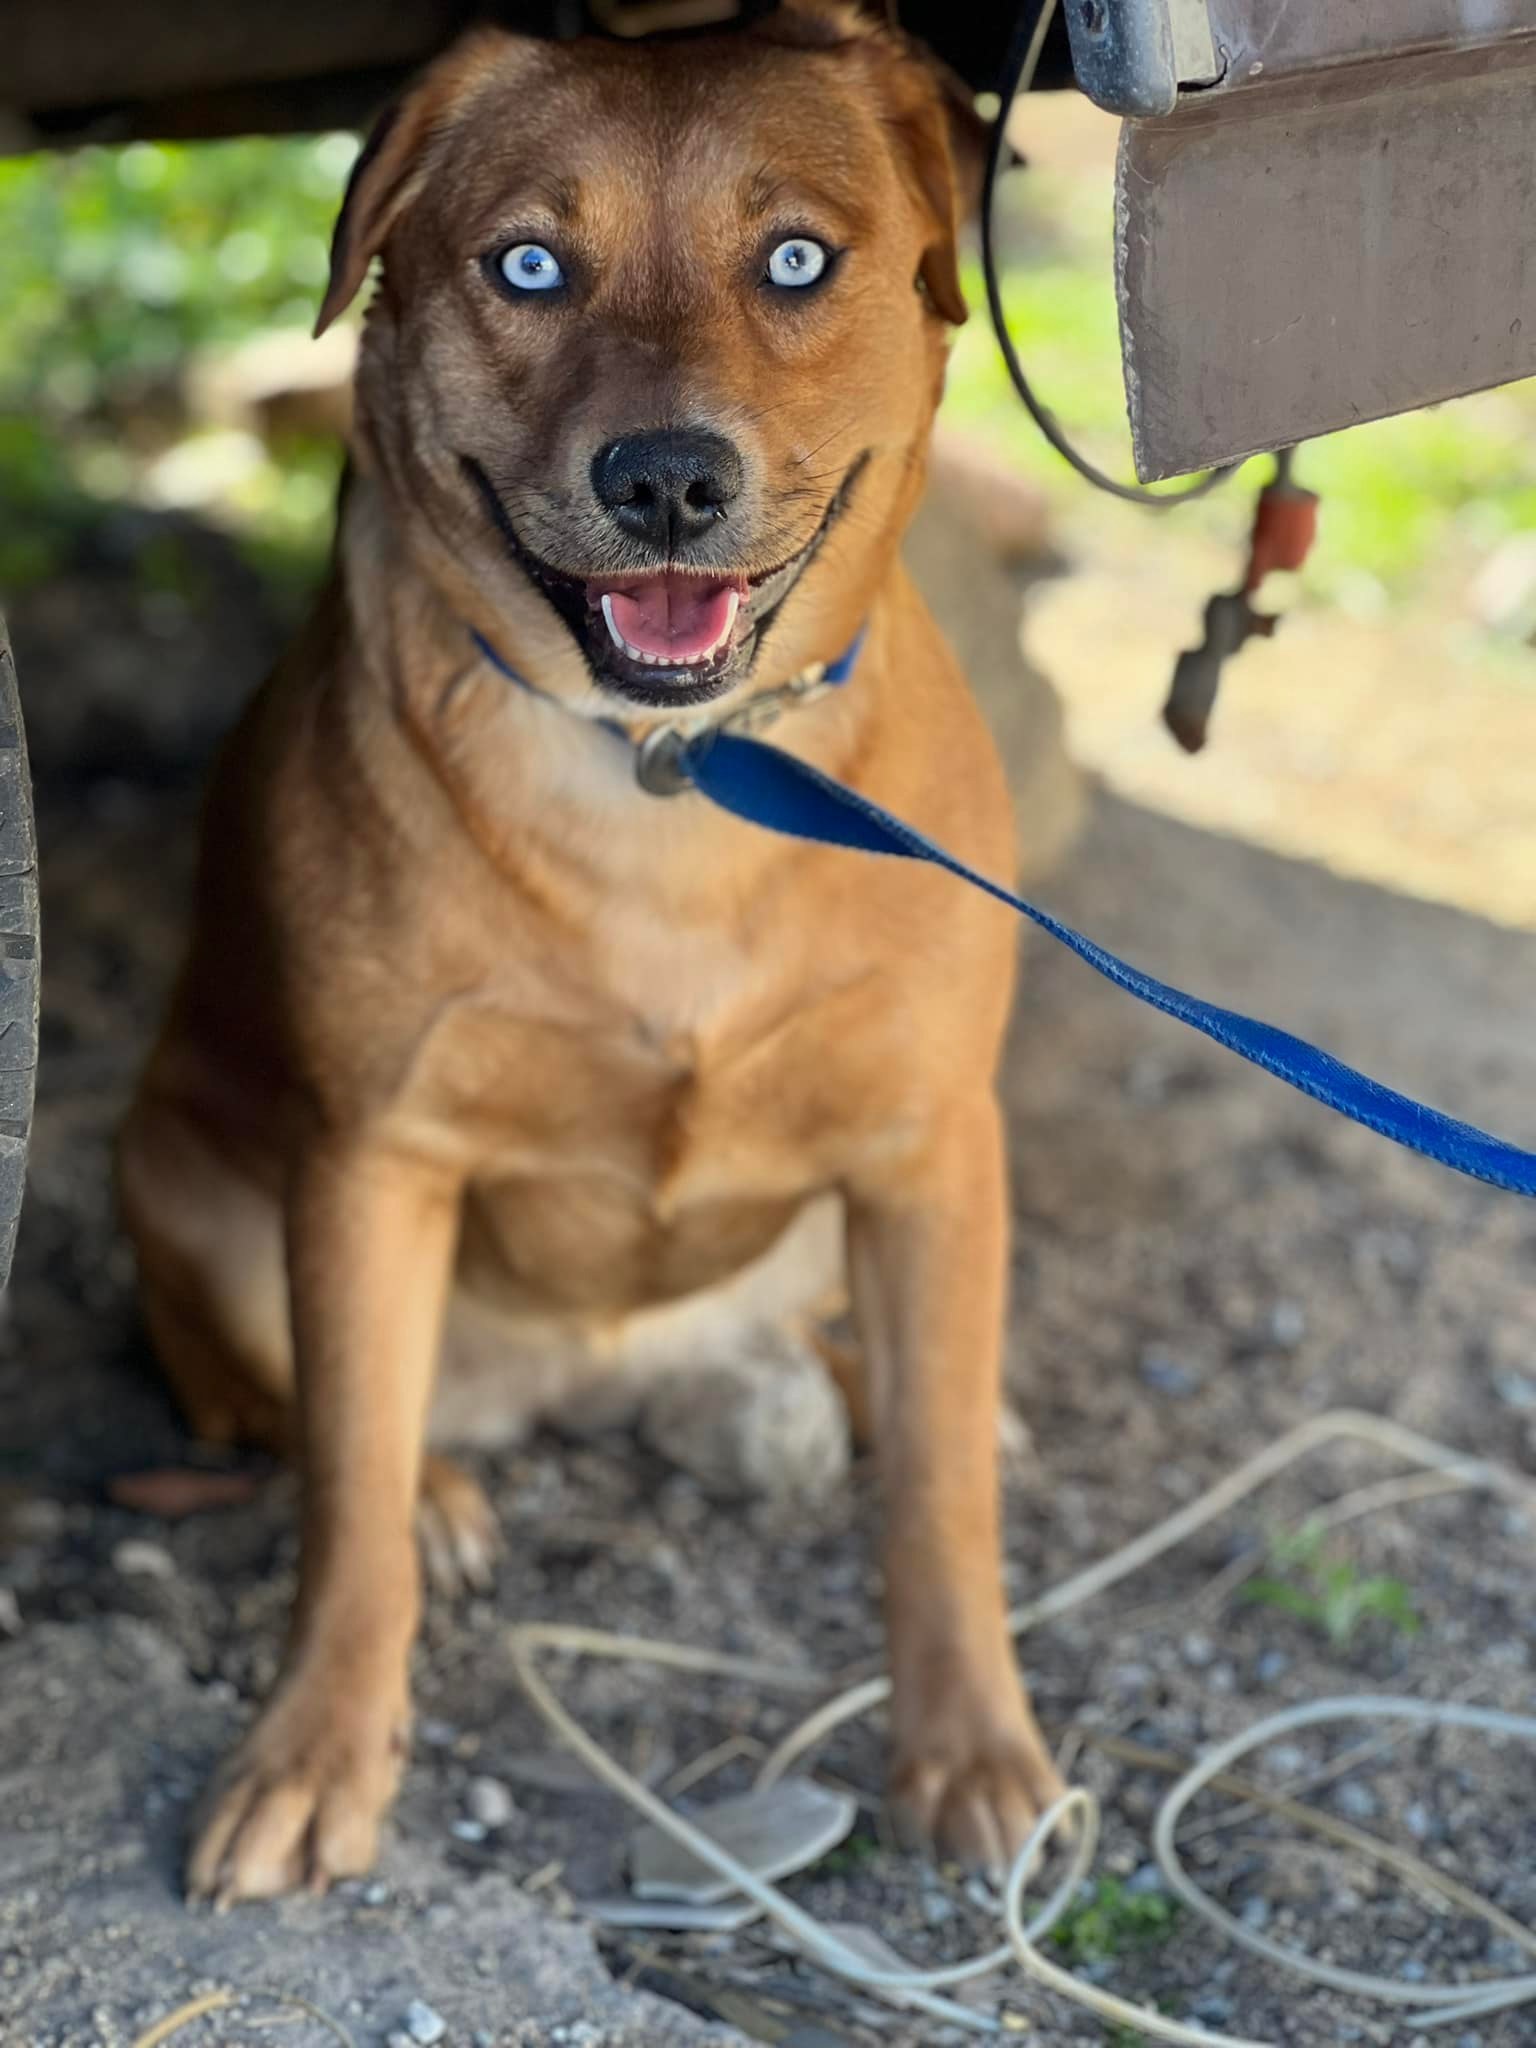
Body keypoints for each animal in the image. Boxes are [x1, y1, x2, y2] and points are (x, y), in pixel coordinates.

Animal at [117, 8, 1073, 1908]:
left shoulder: (932, 1145)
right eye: (528, 266)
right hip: (178, 1173)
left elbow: (938, 1499)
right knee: (302, 1409)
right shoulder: (370, 1160)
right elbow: (342, 1503)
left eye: (798, 261)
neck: (668, 778)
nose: (667, 480)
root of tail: (597, 1371)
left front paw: (971, 1746)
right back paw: (435, 1487)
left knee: (877, 1370)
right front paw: (313, 1752)